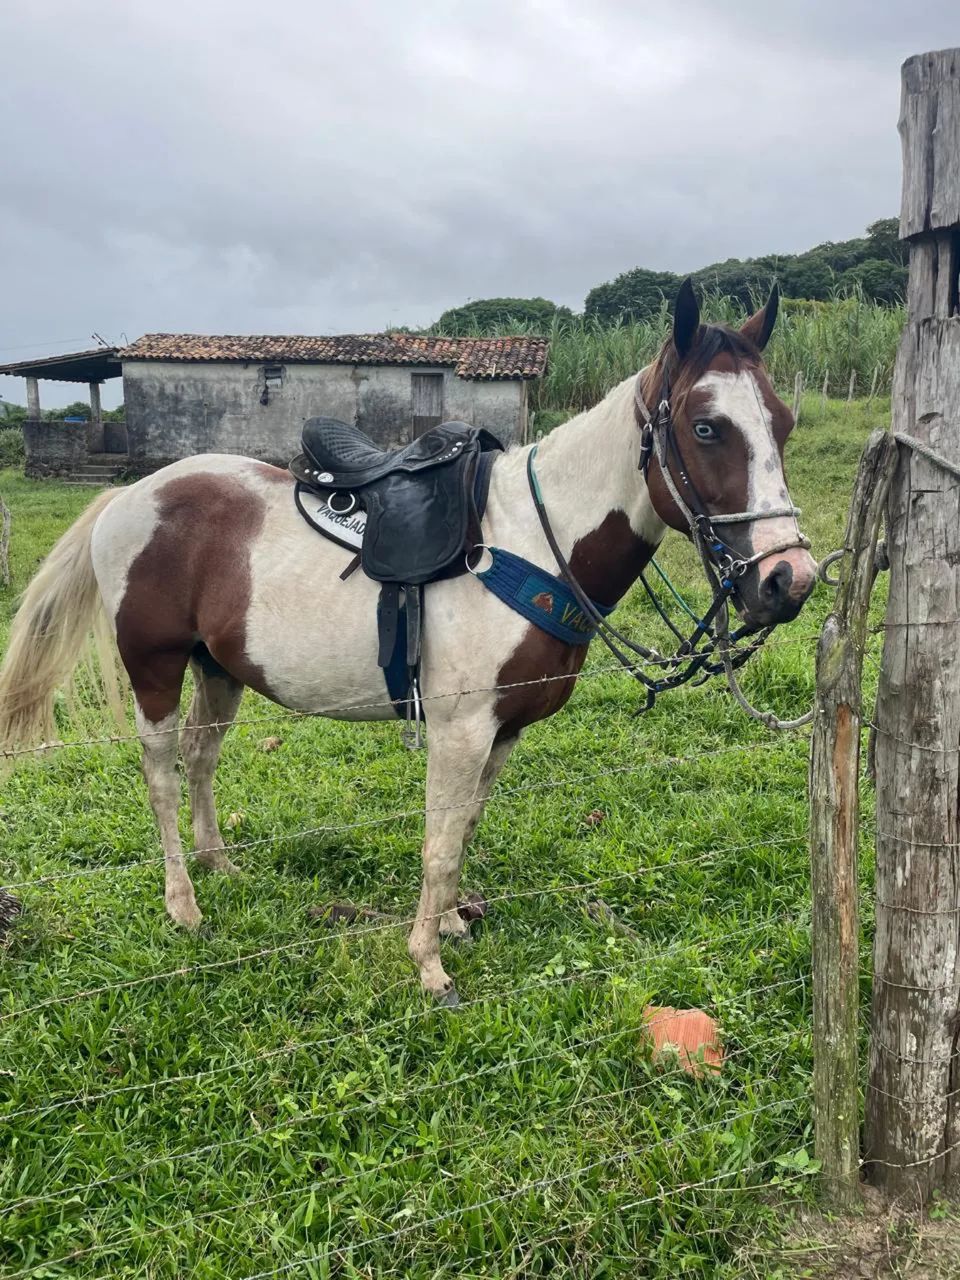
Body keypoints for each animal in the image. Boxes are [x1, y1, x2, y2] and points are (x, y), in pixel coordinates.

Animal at [0, 282, 816, 1004]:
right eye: (707, 427)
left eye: (781, 423)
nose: (789, 579)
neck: (531, 542)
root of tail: (129, 497)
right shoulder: (459, 730)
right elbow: (439, 838)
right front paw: (428, 963)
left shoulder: (505, 730)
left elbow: (465, 828)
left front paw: (451, 923)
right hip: (156, 668)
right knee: (163, 776)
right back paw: (183, 904)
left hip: (220, 669)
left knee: (201, 759)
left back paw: (219, 867)